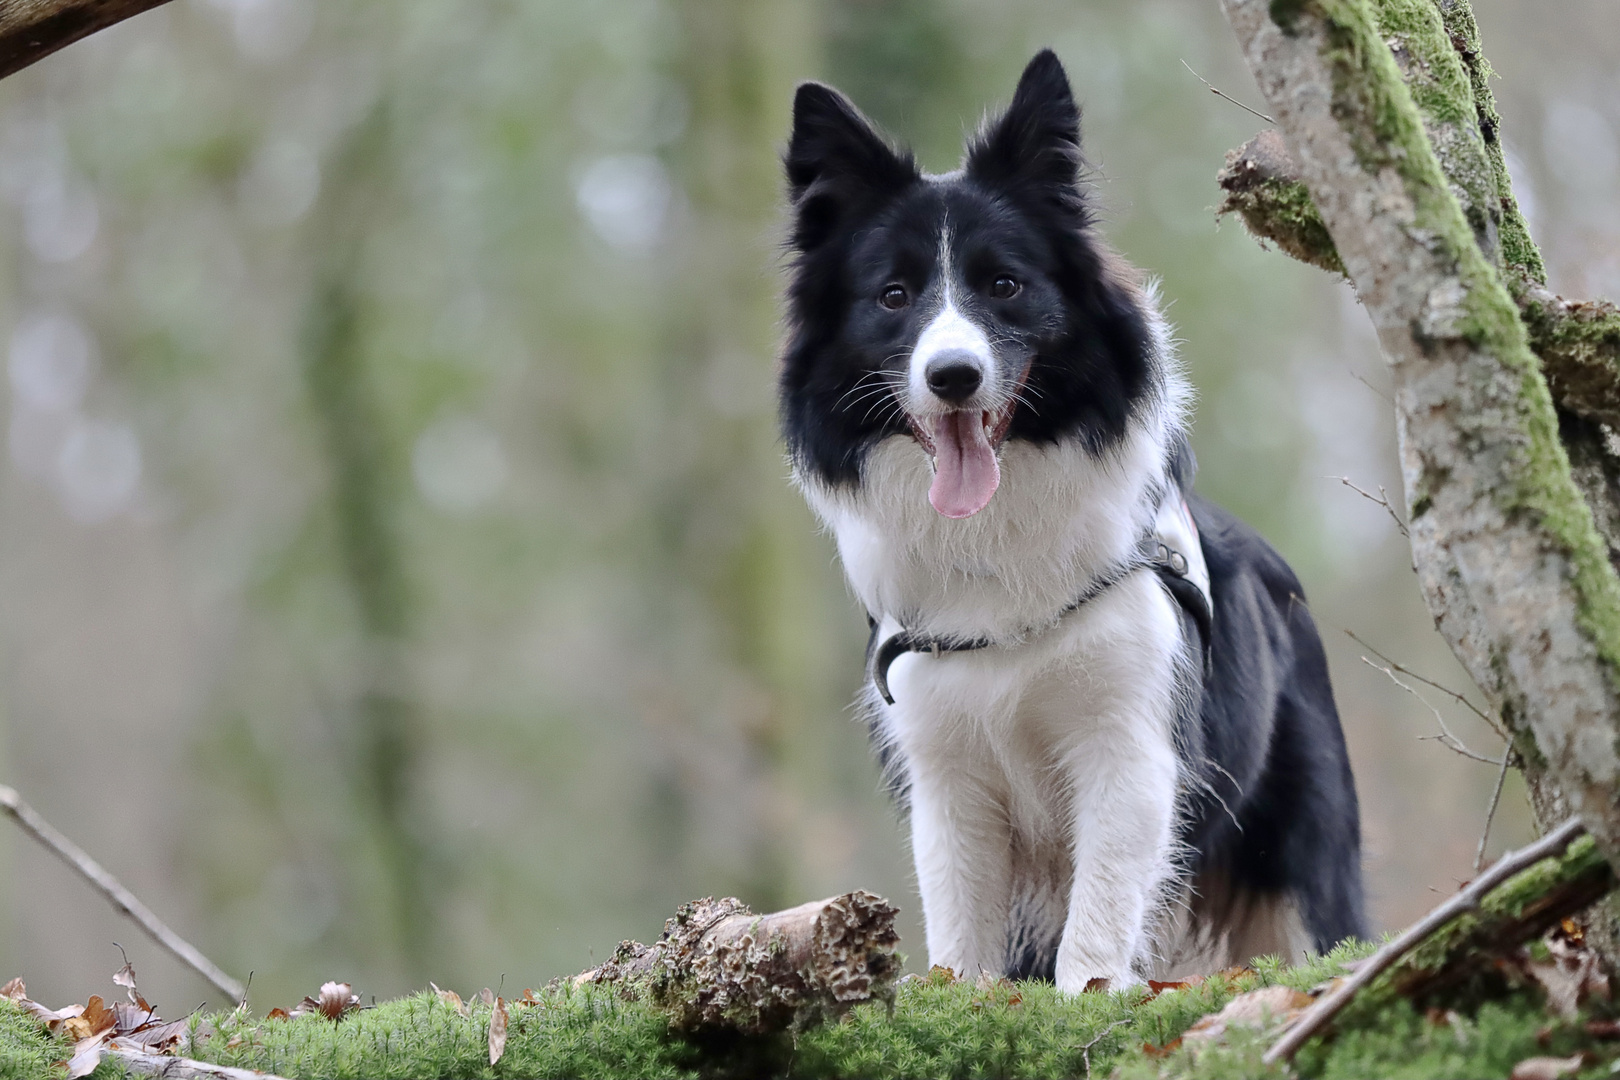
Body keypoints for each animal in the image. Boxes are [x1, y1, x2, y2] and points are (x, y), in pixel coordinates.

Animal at [777, 52, 1360, 997]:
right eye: (893, 296)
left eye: (1004, 285)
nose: (952, 376)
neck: (995, 540)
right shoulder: (946, 772)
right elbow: (962, 941)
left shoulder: (1130, 748)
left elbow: (1094, 933)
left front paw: (1089, 997)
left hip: (1302, 857)